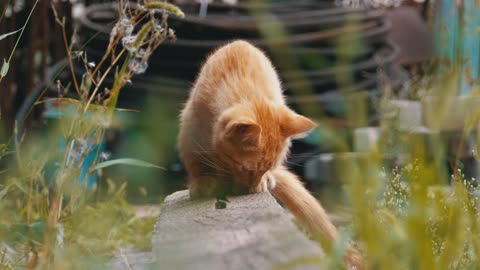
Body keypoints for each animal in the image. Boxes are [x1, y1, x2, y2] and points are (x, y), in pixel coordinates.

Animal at [178, 39, 362, 268]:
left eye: (265, 168)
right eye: (246, 168)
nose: (250, 189)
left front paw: (263, 179)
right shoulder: (190, 126)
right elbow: (196, 162)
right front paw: (203, 181)